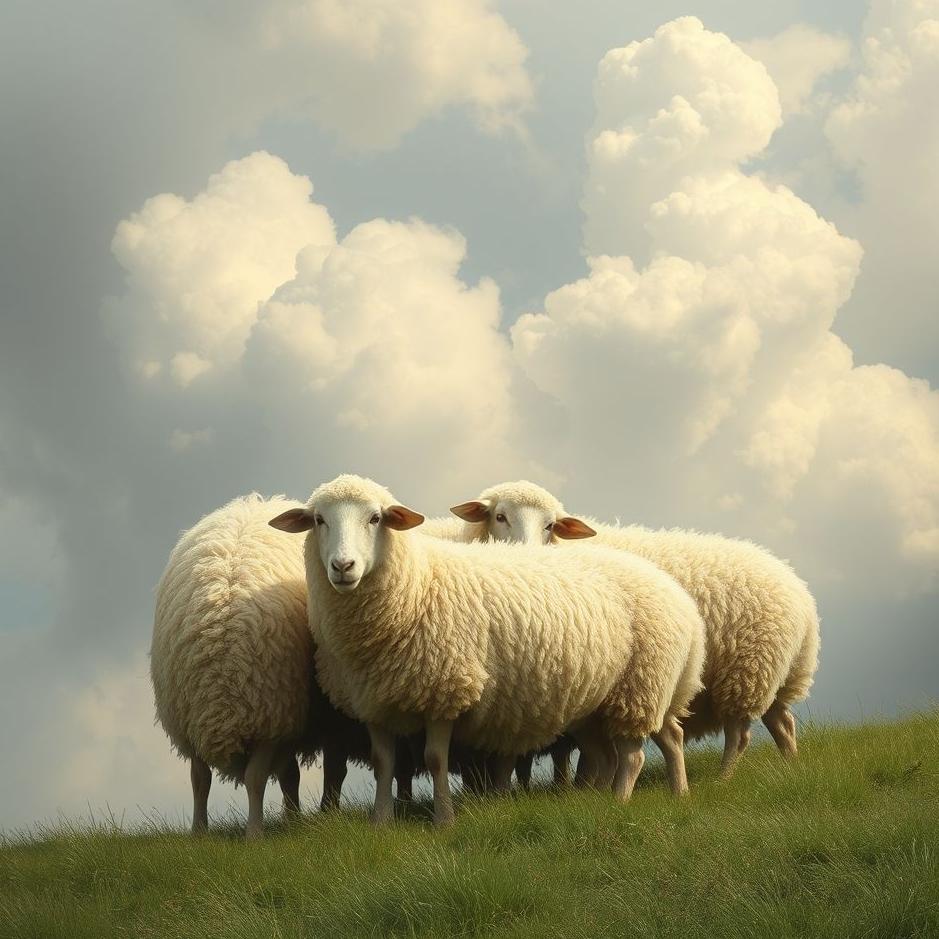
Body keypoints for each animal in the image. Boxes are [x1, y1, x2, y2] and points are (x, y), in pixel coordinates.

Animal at [269, 474, 706, 825]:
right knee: (659, 738)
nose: (343, 567)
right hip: (610, 697)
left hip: (641, 684)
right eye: (319, 520)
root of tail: (679, 595)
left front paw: (444, 820)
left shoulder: (445, 691)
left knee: (633, 755)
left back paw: (618, 803)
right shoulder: (372, 700)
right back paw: (671, 794)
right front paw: (380, 823)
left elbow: (435, 759)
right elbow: (383, 764)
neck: (417, 586)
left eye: (375, 518)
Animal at [450, 480, 820, 777]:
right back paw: (792, 767)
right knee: (782, 722)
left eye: (550, 525)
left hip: (746, 671)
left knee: (740, 734)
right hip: (774, 673)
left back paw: (723, 779)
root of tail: (800, 590)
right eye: (499, 516)